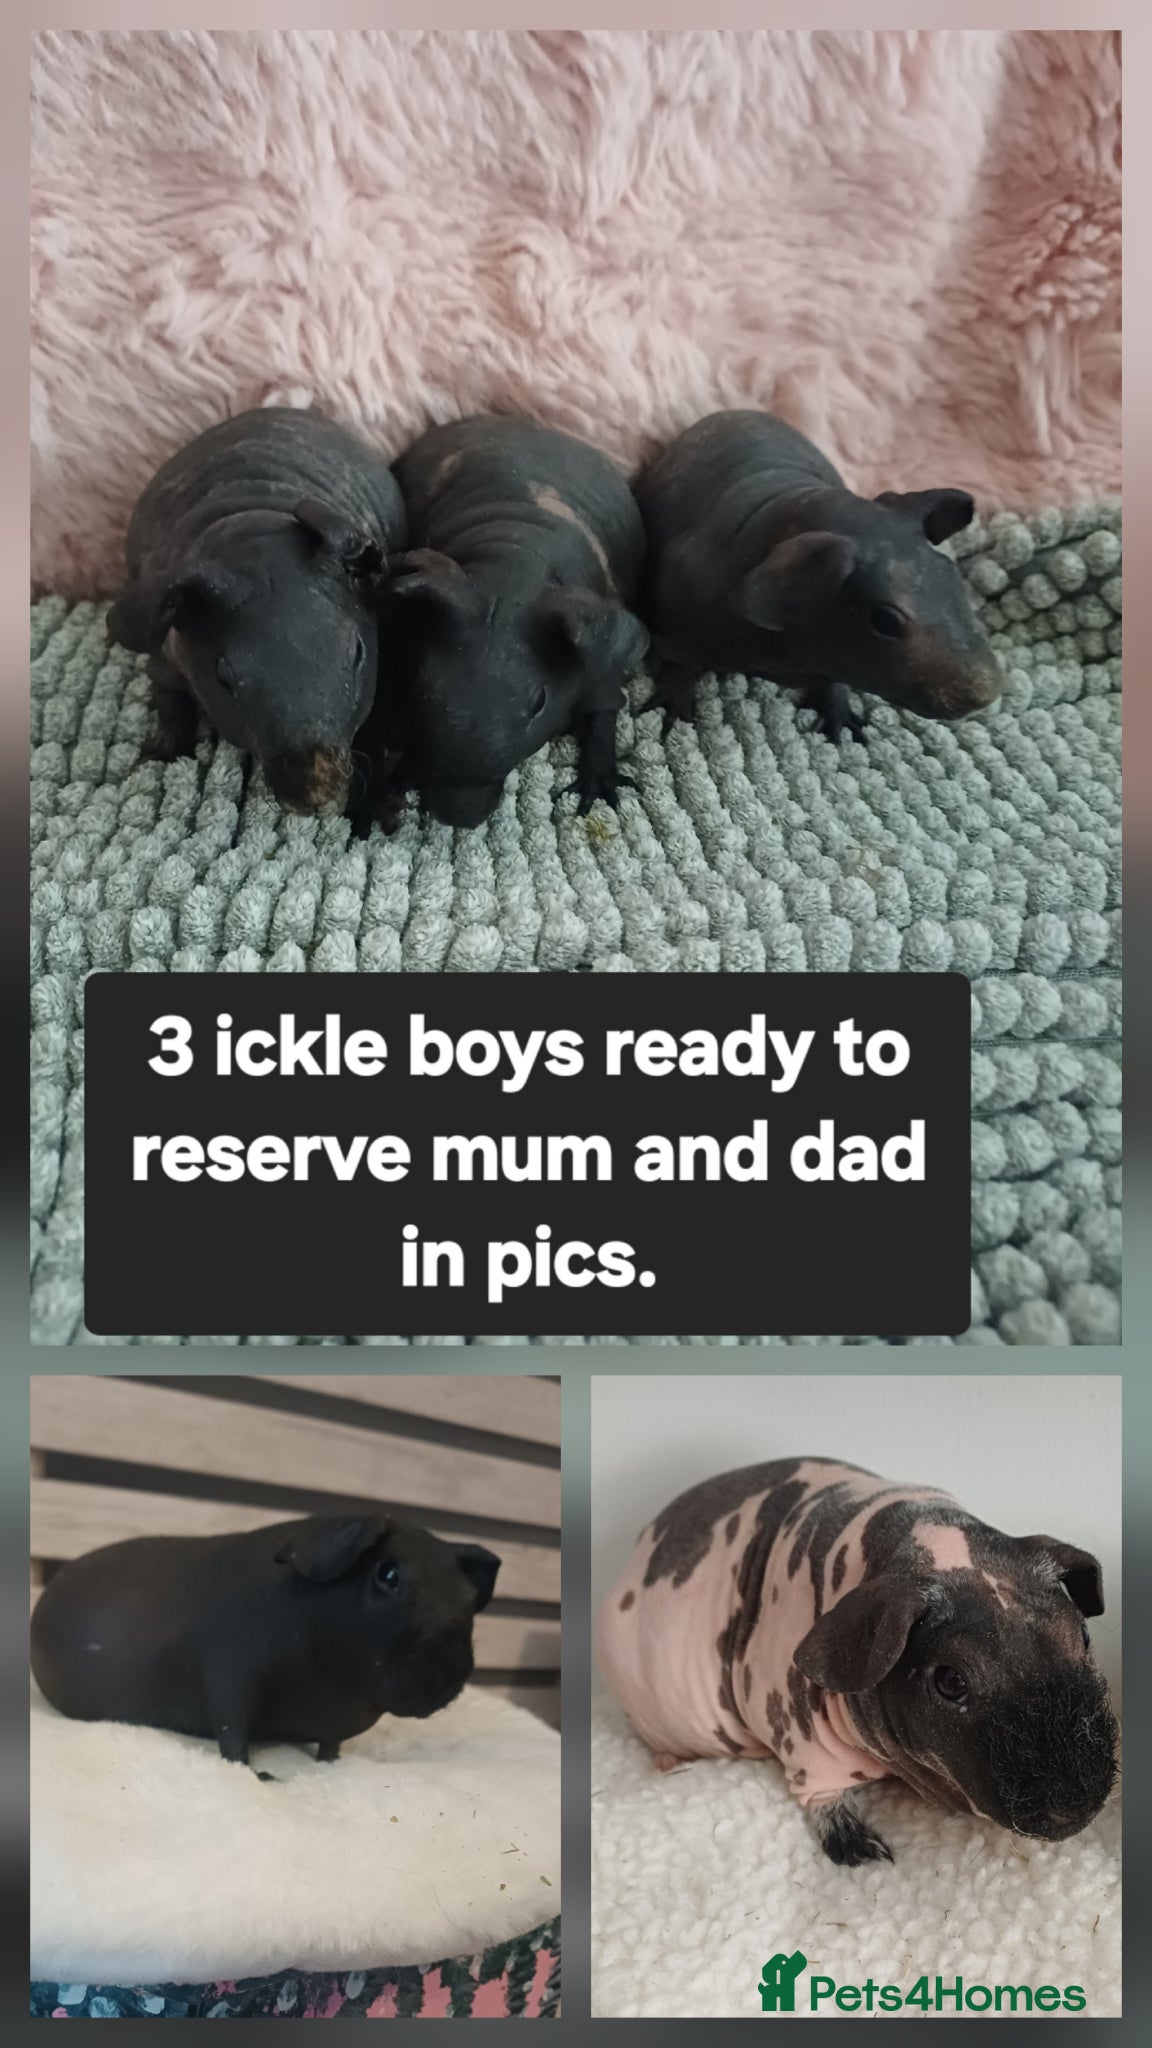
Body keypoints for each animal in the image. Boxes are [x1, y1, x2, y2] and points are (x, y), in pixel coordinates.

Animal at [31, 1513, 500, 1776]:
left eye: (467, 1598)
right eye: (388, 1575)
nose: (446, 1674)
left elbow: (329, 1749)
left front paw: (332, 1766)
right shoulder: (230, 1680)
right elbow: (233, 1741)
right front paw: (264, 1777)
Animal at [105, 407, 408, 814]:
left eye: (358, 654)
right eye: (223, 676)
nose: (313, 795)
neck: (252, 519)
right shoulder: (166, 655)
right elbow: (168, 698)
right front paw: (161, 751)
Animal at [350, 415, 650, 829]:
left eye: (539, 703)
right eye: (422, 684)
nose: (459, 815)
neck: (514, 558)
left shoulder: (597, 658)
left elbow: (606, 709)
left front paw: (599, 780)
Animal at [597, 1457, 1117, 1866]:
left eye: (1084, 1635)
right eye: (950, 1680)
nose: (1078, 1804)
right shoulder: (796, 1728)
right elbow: (822, 1794)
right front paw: (867, 1853)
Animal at [632, 411, 1002, 743]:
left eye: (954, 580)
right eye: (885, 621)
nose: (985, 693)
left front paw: (838, 712)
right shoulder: (678, 619)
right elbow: (680, 662)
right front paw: (673, 703)